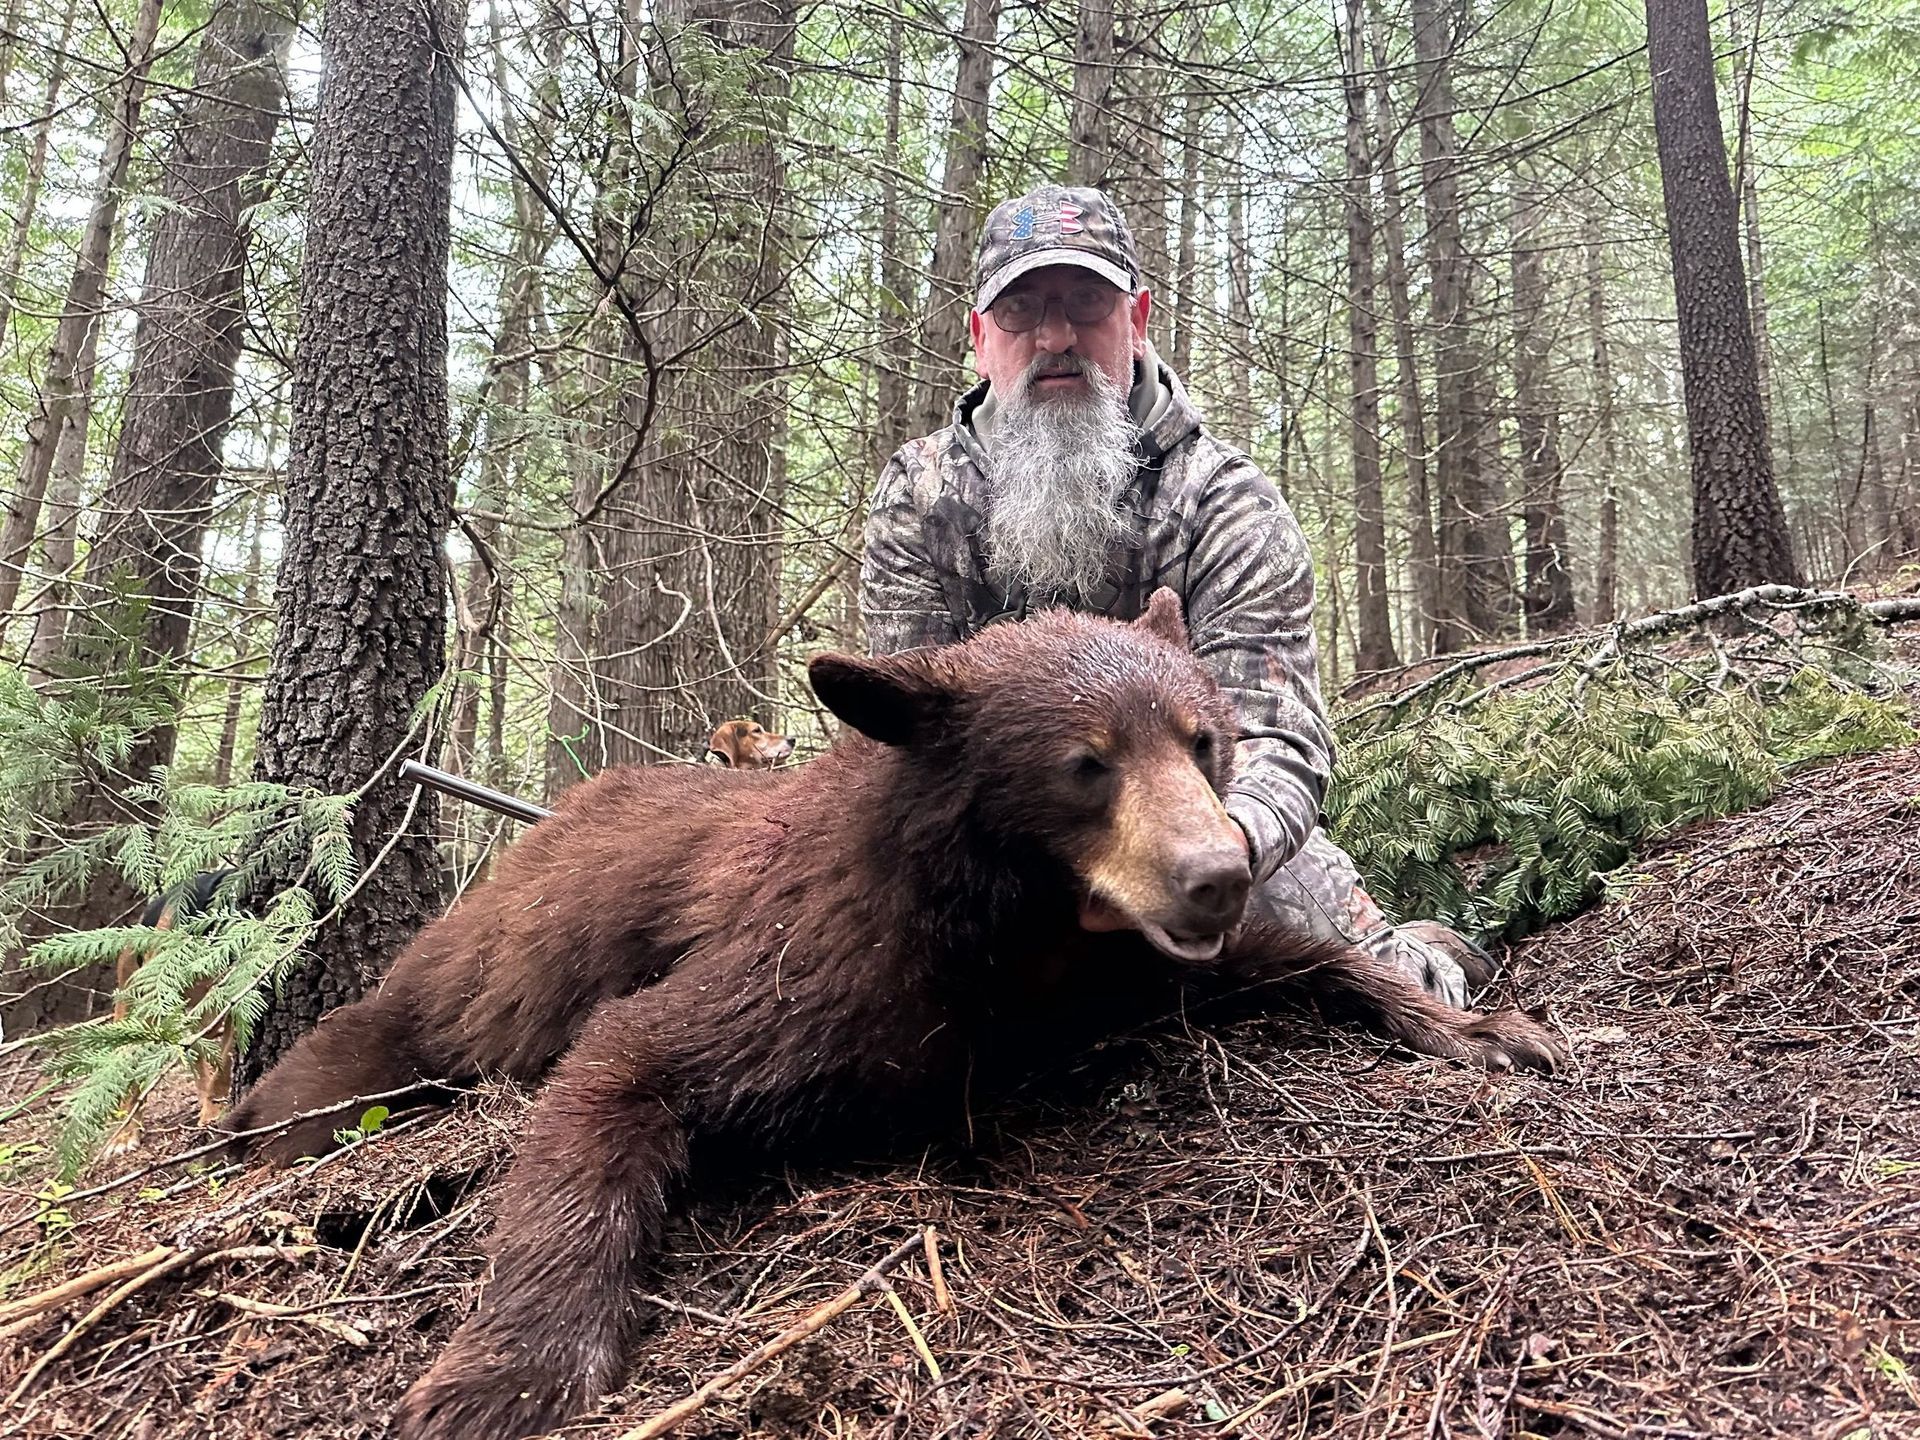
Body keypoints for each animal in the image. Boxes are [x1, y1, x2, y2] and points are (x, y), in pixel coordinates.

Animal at [224, 592, 1560, 1440]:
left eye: (1204, 740)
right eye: (1085, 764)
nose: (1215, 875)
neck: (1023, 933)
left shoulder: (1128, 966)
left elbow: (1306, 960)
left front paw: (1480, 1026)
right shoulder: (812, 970)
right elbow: (623, 1066)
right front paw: (506, 1371)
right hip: (449, 986)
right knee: (338, 1064)